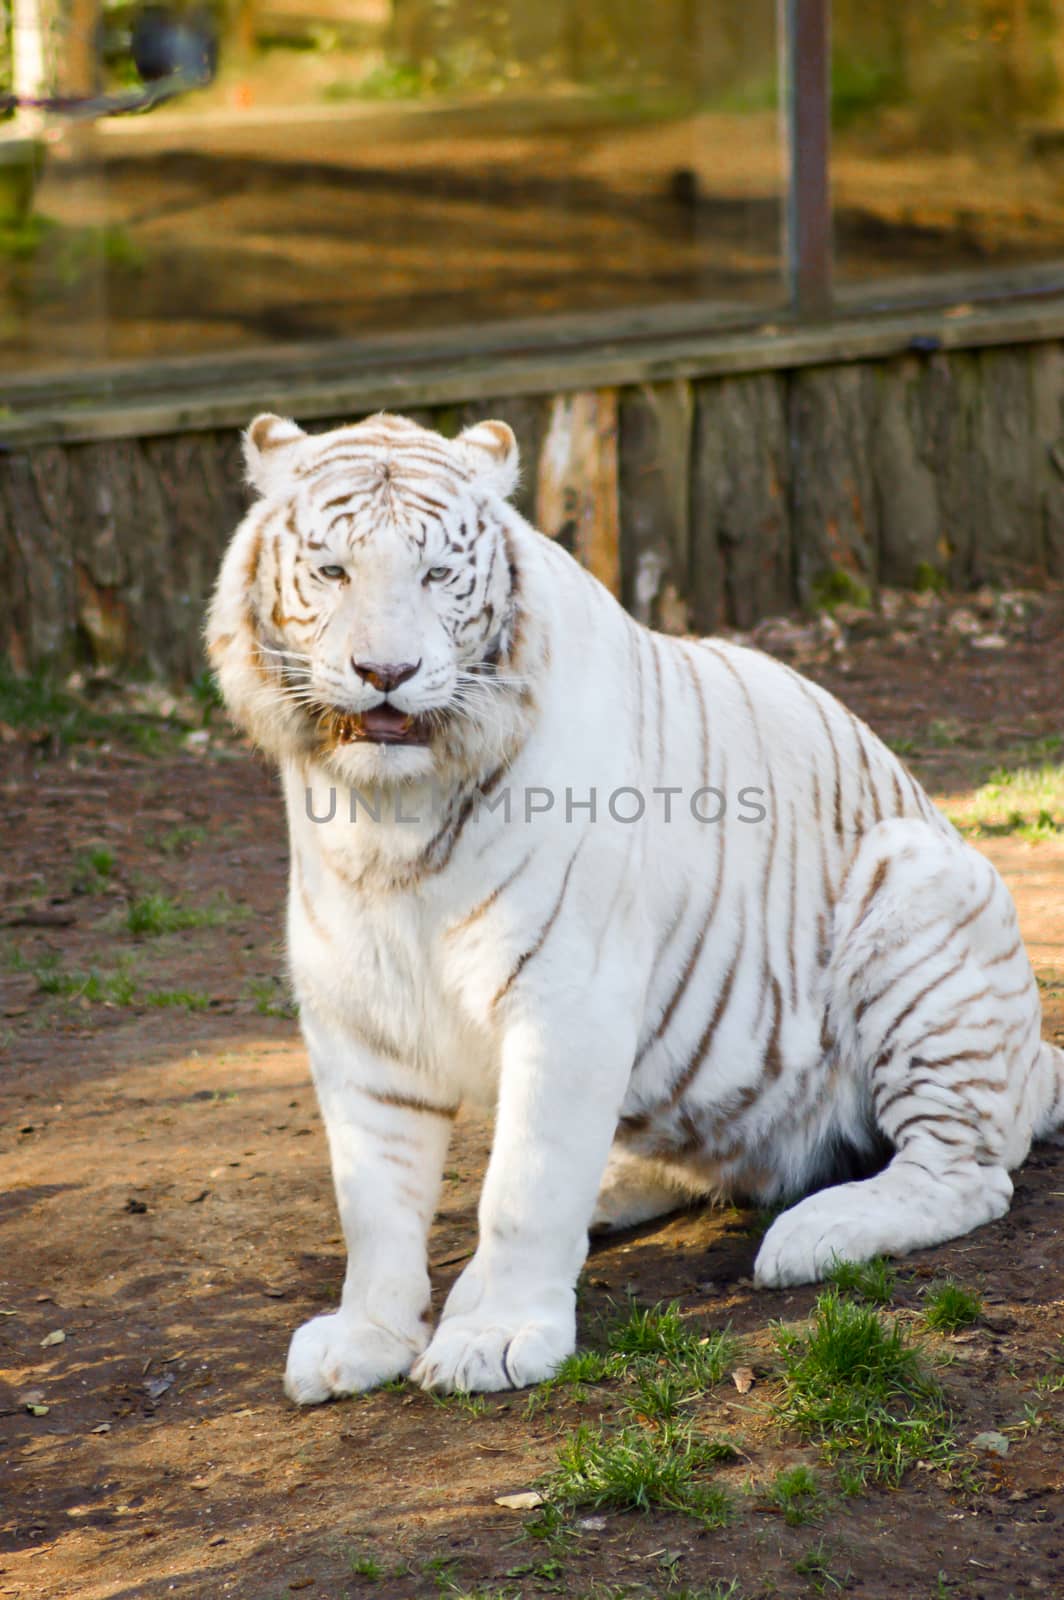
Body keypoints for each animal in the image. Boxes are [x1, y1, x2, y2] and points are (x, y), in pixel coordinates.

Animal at [204, 406, 1062, 1395]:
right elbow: (374, 1202)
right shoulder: (357, 1014)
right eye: (333, 571)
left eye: (436, 575)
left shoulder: (568, 995)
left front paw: (495, 1336)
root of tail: (1035, 1058)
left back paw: (817, 1233)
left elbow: (525, 1185)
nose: (387, 671)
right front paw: (367, 1337)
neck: (386, 820)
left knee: (965, 1170)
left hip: (920, 897)